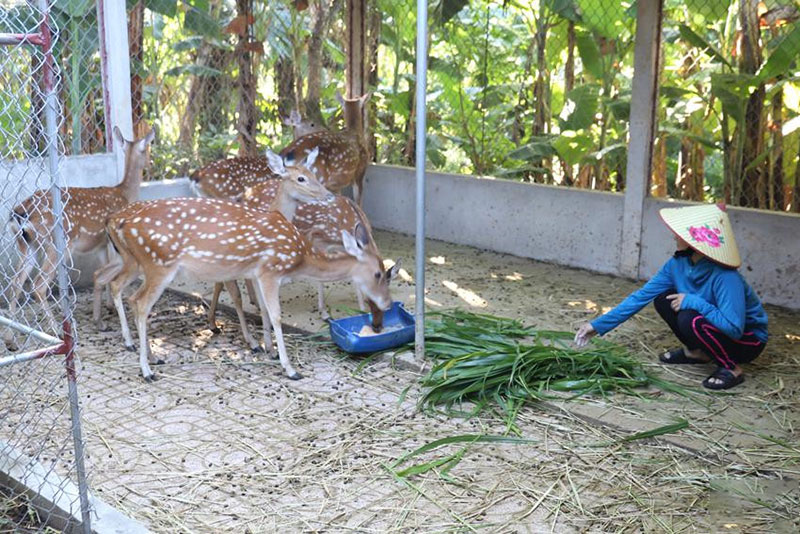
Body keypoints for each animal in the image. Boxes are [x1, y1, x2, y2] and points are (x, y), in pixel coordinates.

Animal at [5, 127, 156, 342]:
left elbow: (101, 273)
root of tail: (19, 213)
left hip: (26, 244)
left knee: (16, 283)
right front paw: (104, 313)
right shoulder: (110, 241)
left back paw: (10, 337)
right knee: (38, 284)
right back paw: (56, 330)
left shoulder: (100, 244)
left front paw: (106, 307)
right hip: (58, 243)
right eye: (147, 150)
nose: (150, 164)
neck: (124, 194)